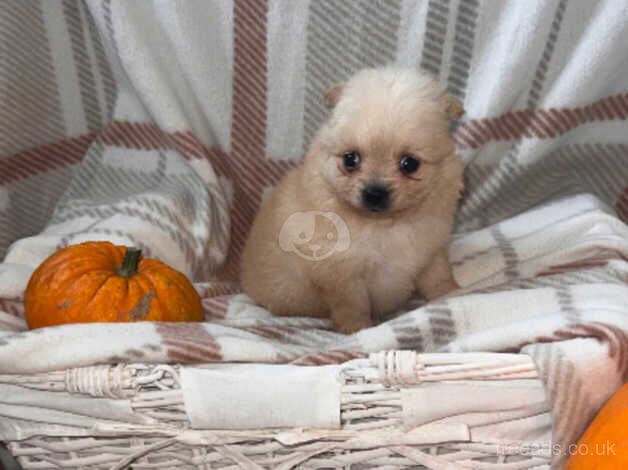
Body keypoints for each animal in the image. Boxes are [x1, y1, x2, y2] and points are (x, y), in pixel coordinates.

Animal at [240, 67, 462, 334]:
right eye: (350, 160)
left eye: (409, 164)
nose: (374, 192)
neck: (385, 226)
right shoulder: (344, 275)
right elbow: (353, 307)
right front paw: (357, 330)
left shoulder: (430, 252)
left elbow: (439, 278)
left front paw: (453, 294)